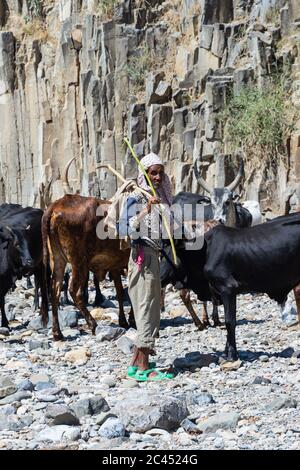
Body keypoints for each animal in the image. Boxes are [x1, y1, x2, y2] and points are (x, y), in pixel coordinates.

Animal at [41, 195, 133, 342]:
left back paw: (57, 333)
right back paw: (93, 324)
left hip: (58, 260)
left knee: (55, 292)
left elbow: (120, 292)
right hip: (79, 263)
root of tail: (57, 204)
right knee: (74, 291)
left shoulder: (114, 266)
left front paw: (123, 321)